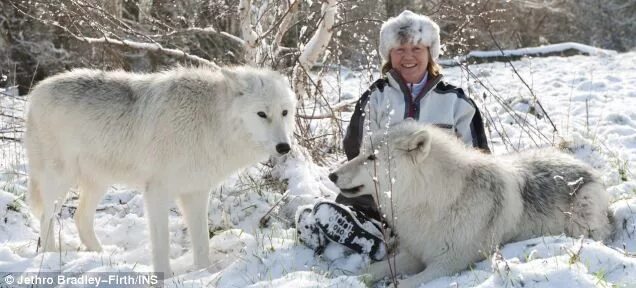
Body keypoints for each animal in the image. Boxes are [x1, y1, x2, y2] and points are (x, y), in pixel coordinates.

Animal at [24, 66, 298, 276]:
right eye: (262, 114)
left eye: (284, 112)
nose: (284, 147)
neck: (210, 122)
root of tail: (36, 91)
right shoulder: (156, 191)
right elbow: (162, 244)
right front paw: (164, 277)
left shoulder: (196, 193)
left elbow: (202, 243)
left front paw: (204, 274)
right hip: (60, 181)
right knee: (46, 218)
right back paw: (50, 260)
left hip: (97, 183)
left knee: (81, 219)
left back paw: (103, 259)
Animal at [328, 121, 612, 286]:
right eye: (360, 153)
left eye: (371, 157)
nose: (332, 175)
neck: (432, 198)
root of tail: (584, 165)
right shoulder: (416, 253)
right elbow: (372, 270)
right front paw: (347, 279)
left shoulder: (447, 262)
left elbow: (404, 284)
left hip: (581, 223)